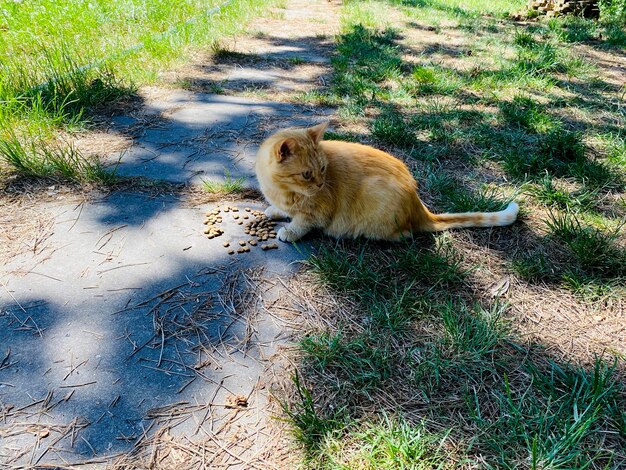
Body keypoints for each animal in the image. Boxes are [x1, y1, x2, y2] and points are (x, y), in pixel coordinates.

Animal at [254, 121, 516, 242]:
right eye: (308, 174)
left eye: (323, 169)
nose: (319, 185)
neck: (281, 190)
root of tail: (419, 206)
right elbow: (284, 210)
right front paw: (275, 210)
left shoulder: (317, 213)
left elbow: (302, 222)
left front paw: (289, 231)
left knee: (406, 234)